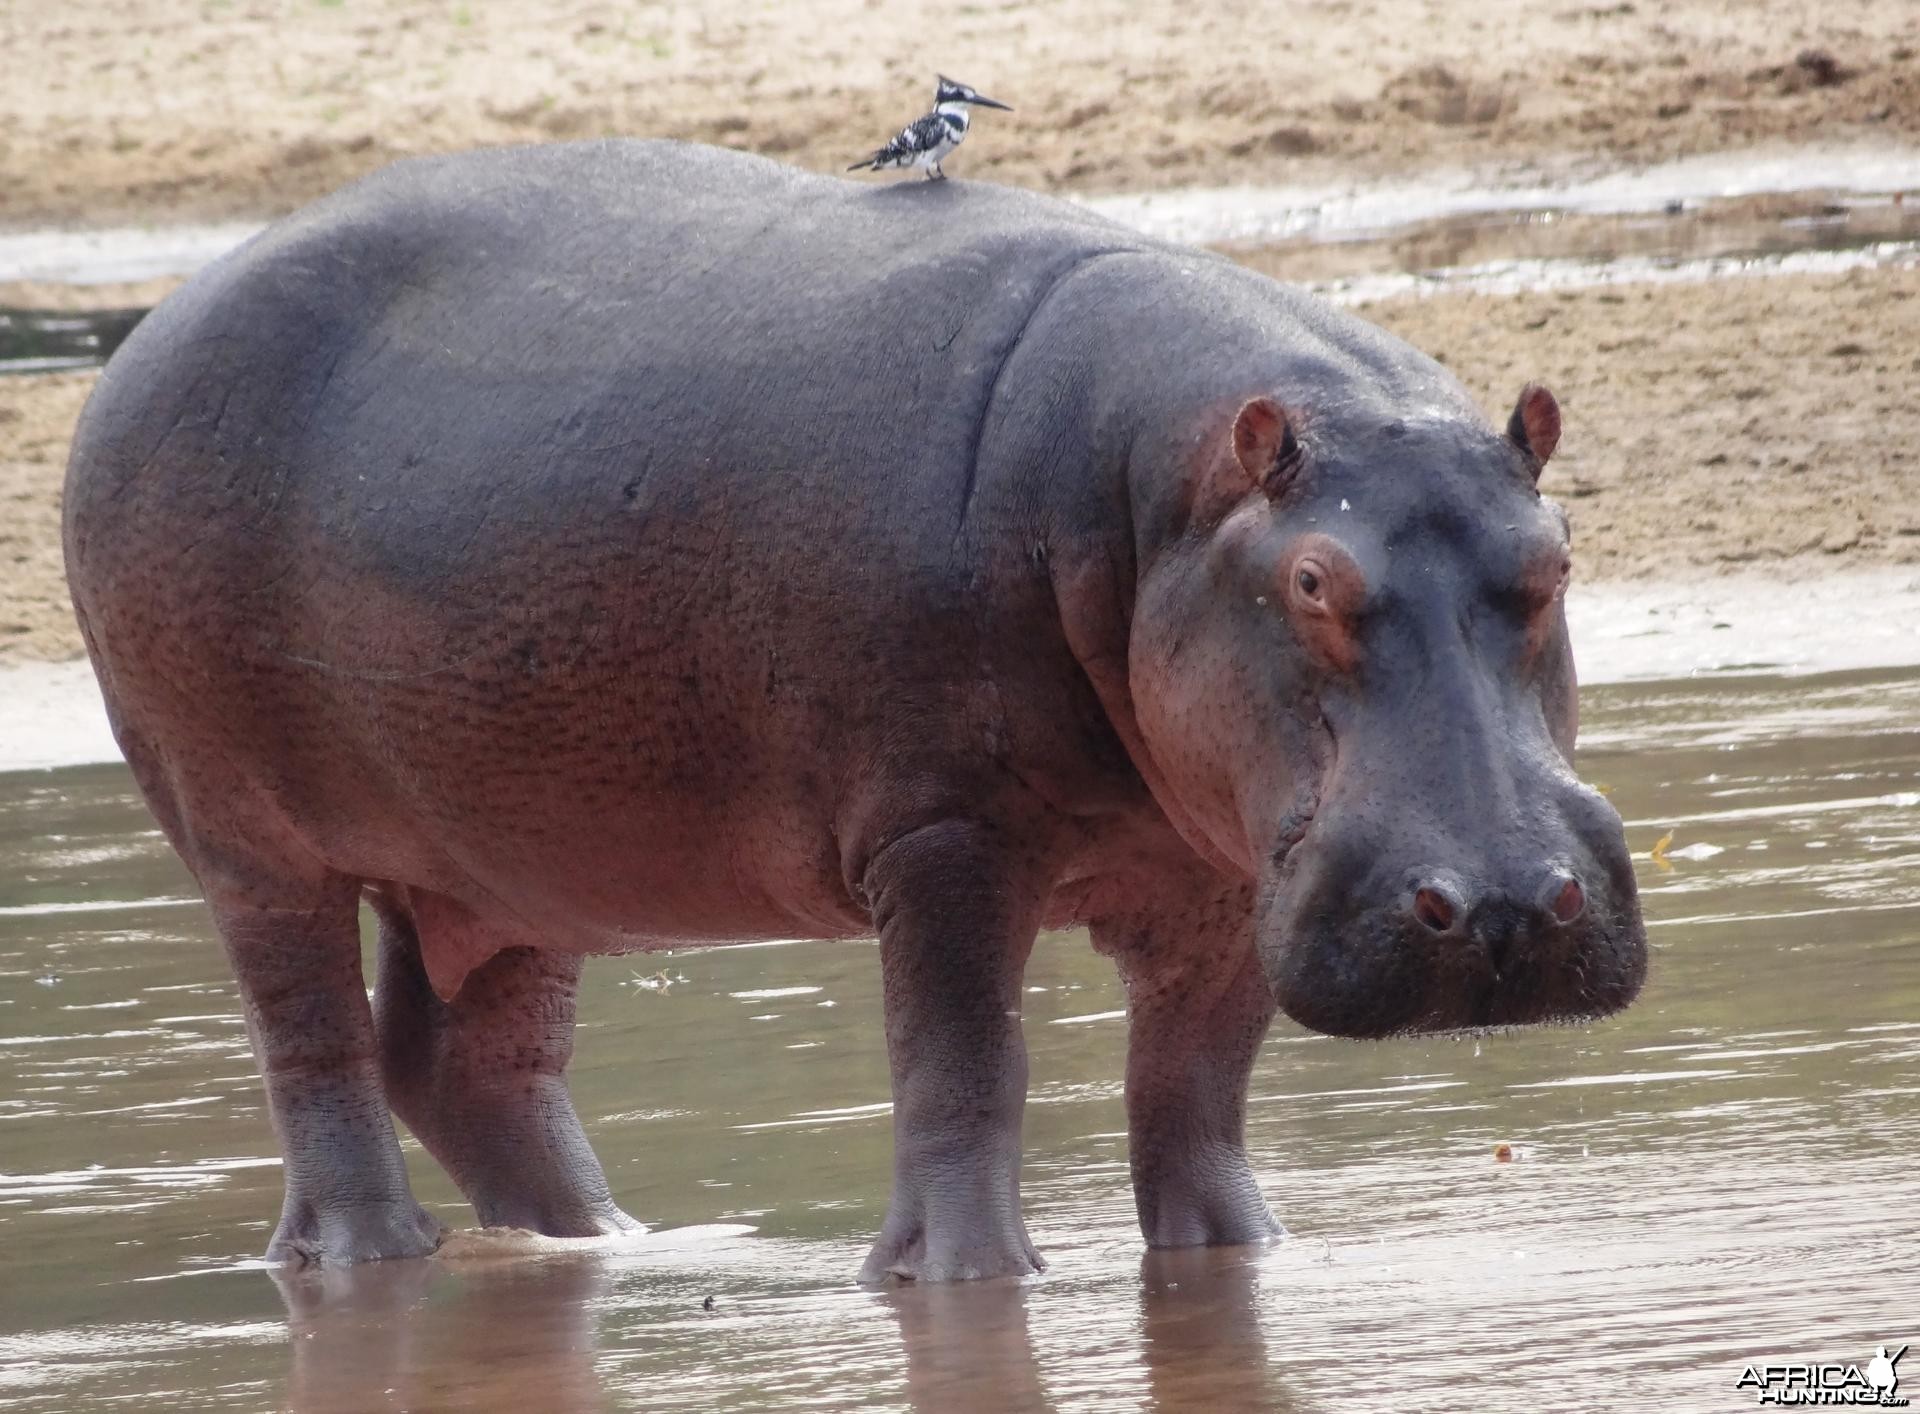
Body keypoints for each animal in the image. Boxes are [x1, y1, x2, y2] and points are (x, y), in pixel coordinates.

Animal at [63, 144, 1651, 1283]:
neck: (1162, 497)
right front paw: (962, 1281)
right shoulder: (940, 834)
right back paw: (370, 1257)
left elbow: (1195, 1088)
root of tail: (147, 334)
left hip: (506, 858)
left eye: (1560, 555)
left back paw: (609, 1248)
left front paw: (1238, 1260)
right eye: (1314, 579)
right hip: (249, 837)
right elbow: (962, 1062)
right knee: (313, 1042)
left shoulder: (1221, 872)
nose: (1507, 905)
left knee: (468, 1057)